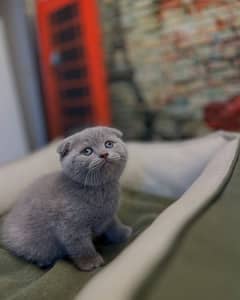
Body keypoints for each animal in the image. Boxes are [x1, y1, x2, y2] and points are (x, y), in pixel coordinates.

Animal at [0, 125, 131, 270]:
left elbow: (114, 225)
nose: (104, 154)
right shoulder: (70, 226)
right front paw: (90, 262)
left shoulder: (109, 215)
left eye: (109, 144)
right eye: (87, 151)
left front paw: (123, 233)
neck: (100, 190)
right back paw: (45, 262)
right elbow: (81, 246)